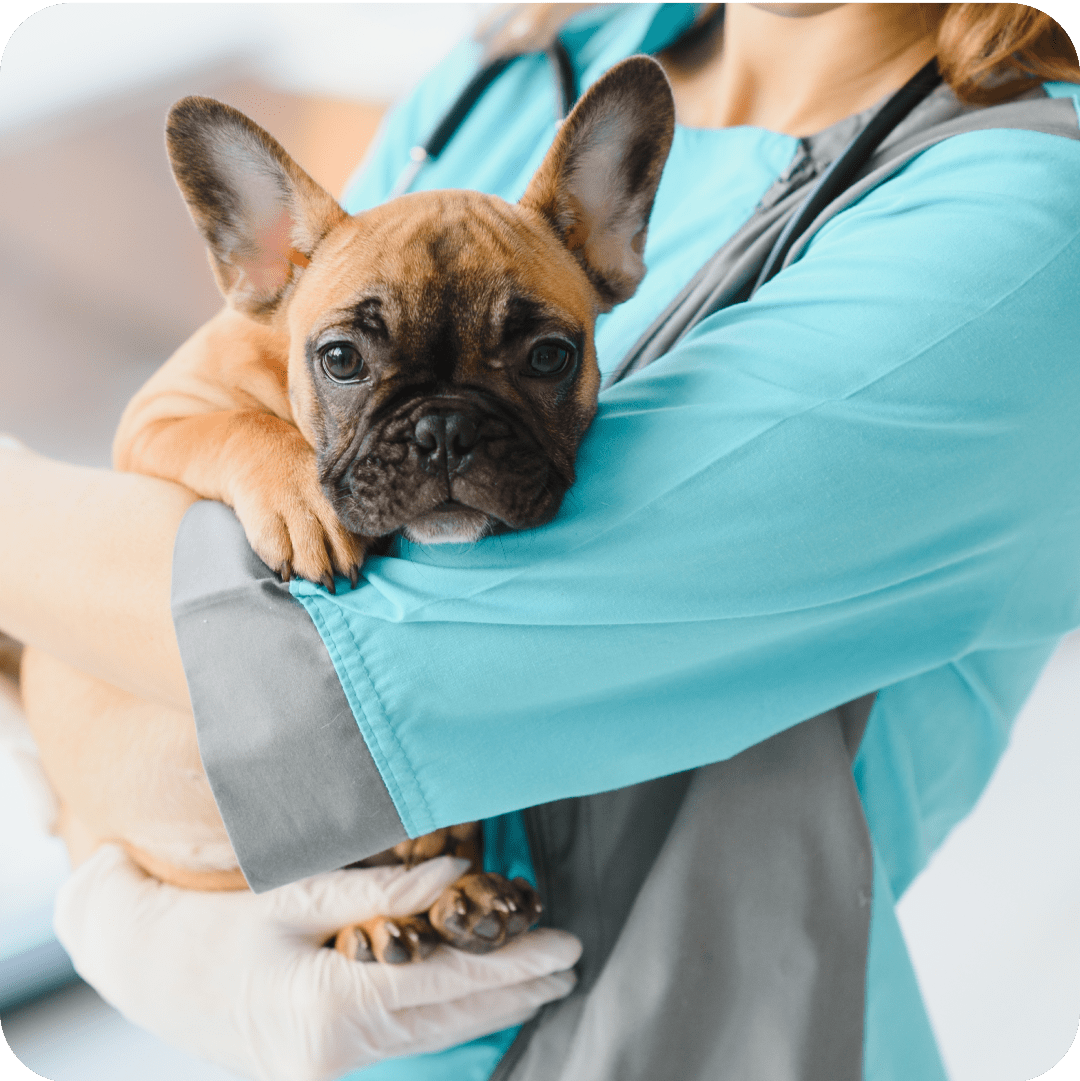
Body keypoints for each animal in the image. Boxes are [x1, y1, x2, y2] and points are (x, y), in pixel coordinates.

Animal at [103, 57, 674, 964]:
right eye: (340, 359)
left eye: (550, 357)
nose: (445, 428)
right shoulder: (156, 419)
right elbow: (238, 424)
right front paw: (301, 501)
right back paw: (378, 914)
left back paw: (464, 892)